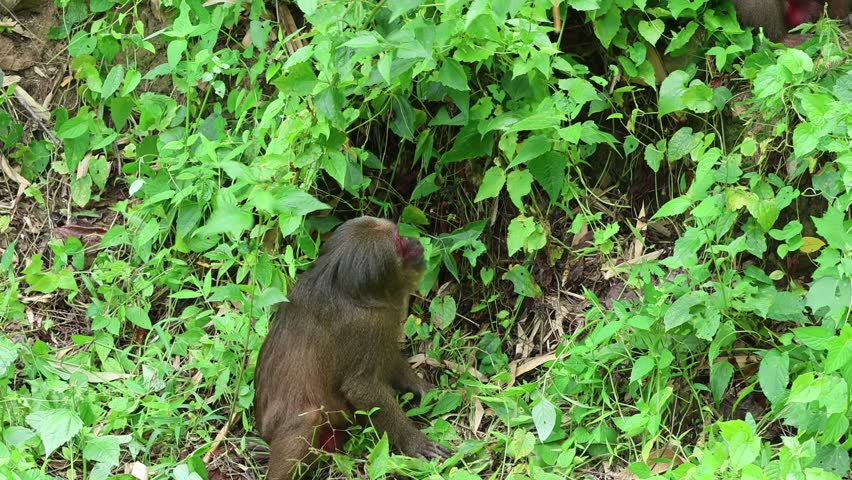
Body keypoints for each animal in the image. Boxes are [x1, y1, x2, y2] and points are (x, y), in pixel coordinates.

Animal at [254, 216, 451, 480]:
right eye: (399, 241)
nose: (415, 240)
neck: (346, 289)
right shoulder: (369, 324)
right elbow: (362, 388)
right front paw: (413, 442)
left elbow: (387, 357)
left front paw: (423, 388)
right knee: (309, 419)